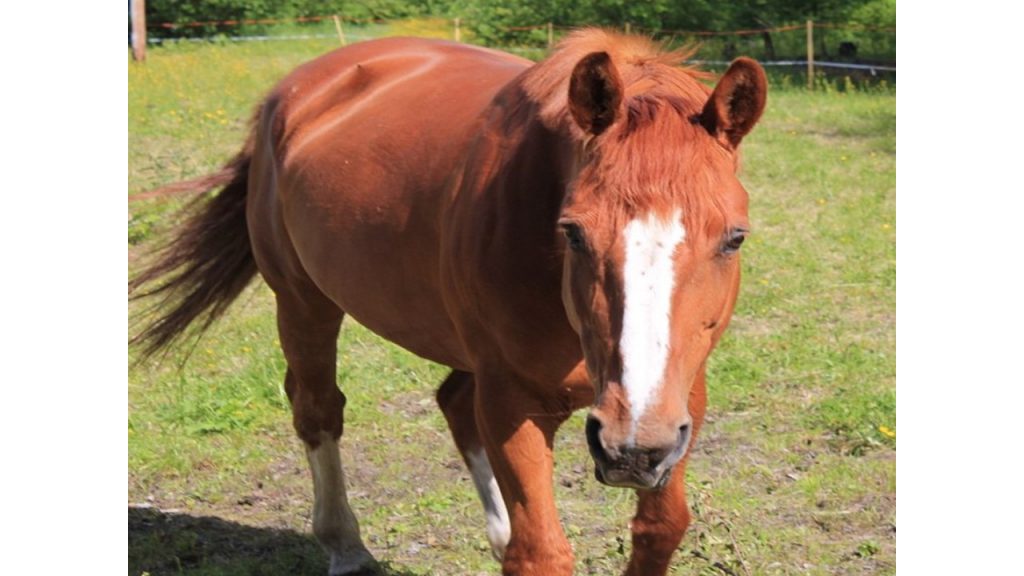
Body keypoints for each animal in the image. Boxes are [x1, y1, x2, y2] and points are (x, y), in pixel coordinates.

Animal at [130, 30, 770, 573]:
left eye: (734, 237)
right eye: (572, 232)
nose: (632, 449)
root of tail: (290, 93)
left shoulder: (680, 399)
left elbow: (662, 528)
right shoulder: (513, 402)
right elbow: (540, 553)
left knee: (452, 403)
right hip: (302, 301)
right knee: (317, 408)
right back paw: (346, 545)